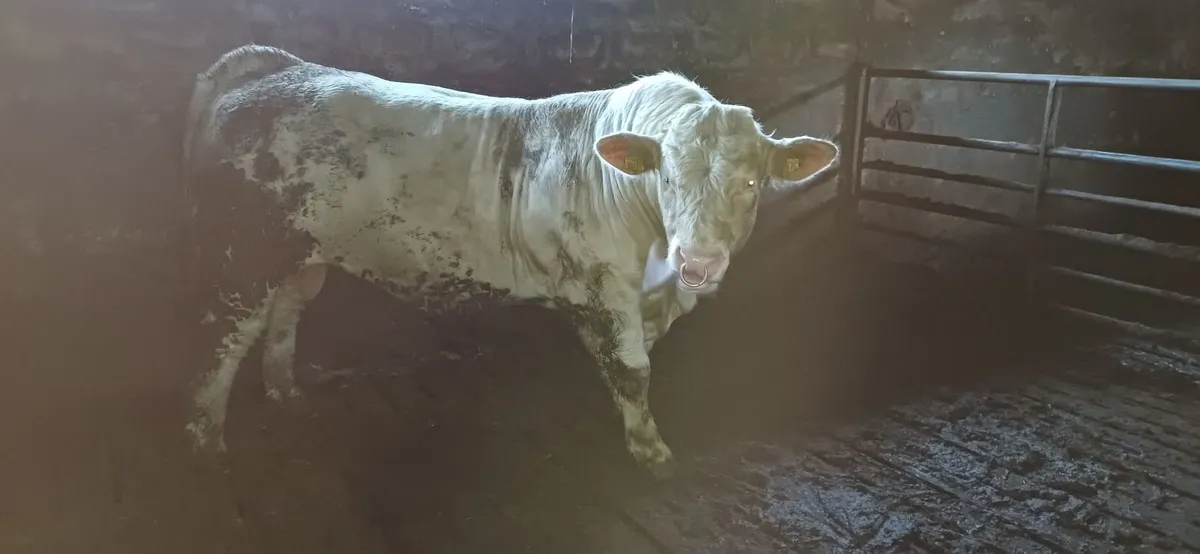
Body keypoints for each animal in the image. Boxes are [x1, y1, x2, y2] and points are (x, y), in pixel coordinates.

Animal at [181, 44, 838, 479]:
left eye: (751, 182)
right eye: (667, 177)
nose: (698, 257)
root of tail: (280, 66)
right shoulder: (606, 292)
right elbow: (633, 370)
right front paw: (651, 453)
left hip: (302, 253)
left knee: (285, 312)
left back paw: (287, 394)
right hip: (243, 255)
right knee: (222, 339)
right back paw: (206, 443)